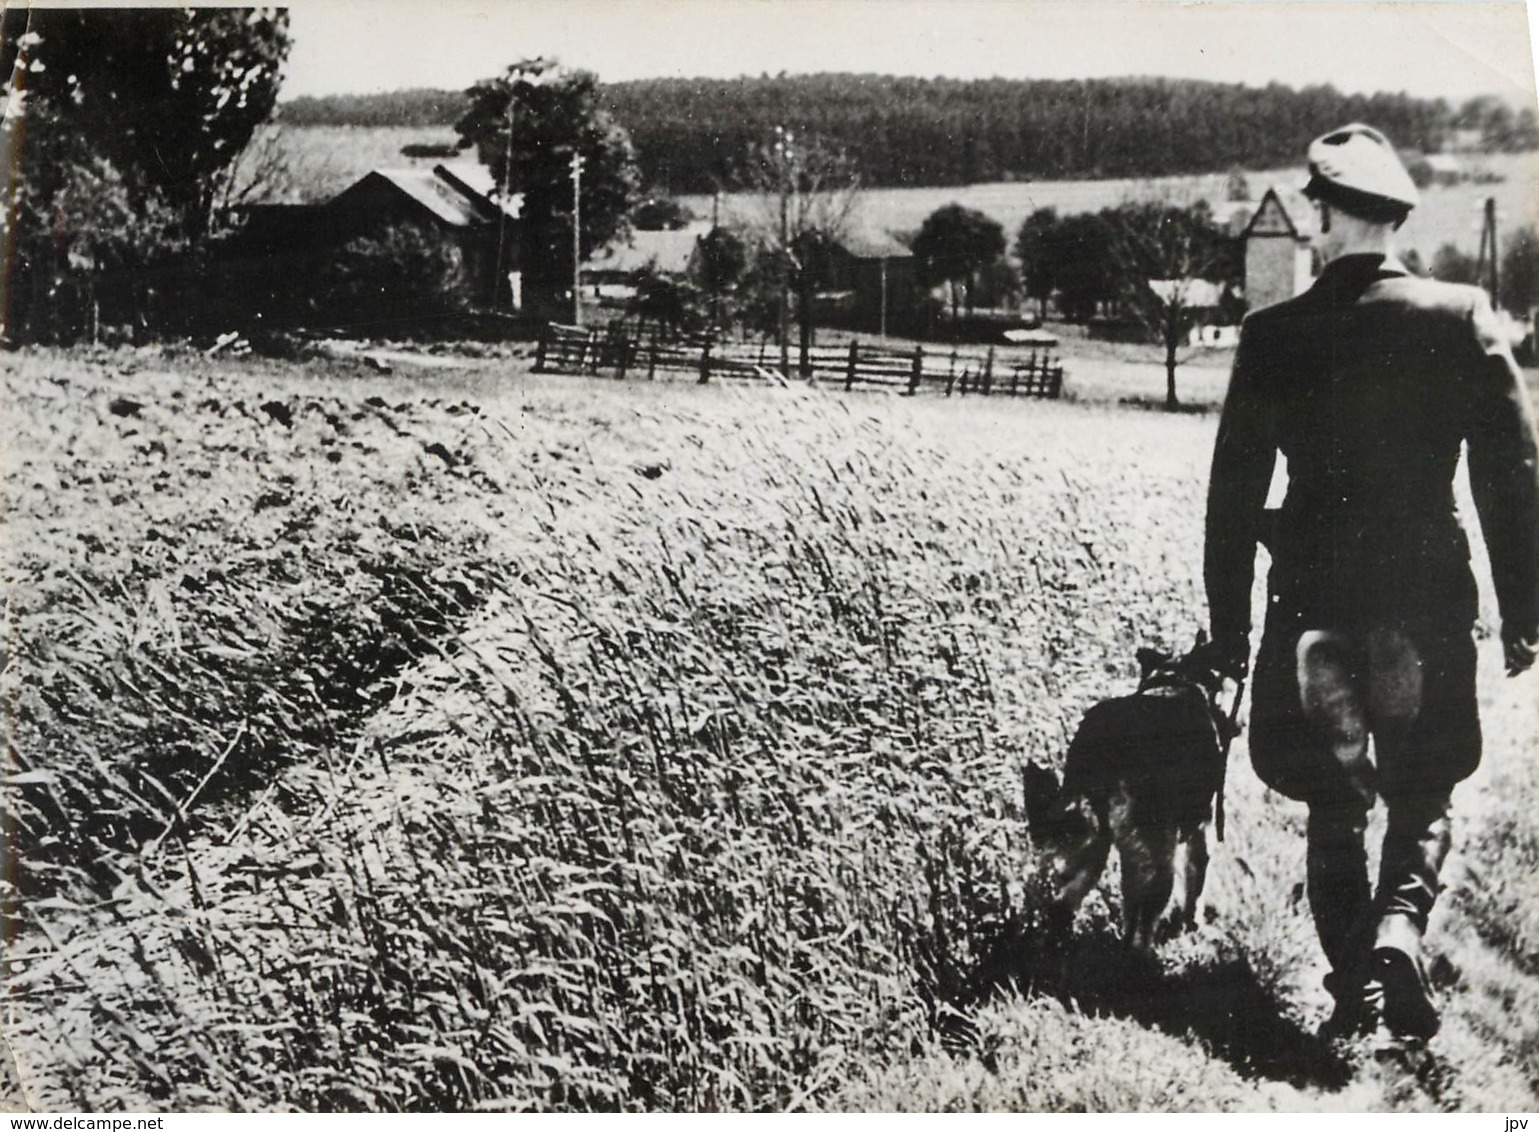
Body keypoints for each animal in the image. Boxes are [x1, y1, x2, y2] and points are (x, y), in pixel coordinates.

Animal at [1021, 639, 1237, 953]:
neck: (1175, 676)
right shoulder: (1201, 831)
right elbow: (1193, 887)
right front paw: (1190, 925)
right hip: (1156, 857)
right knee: (1143, 925)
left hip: (1094, 840)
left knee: (1061, 904)